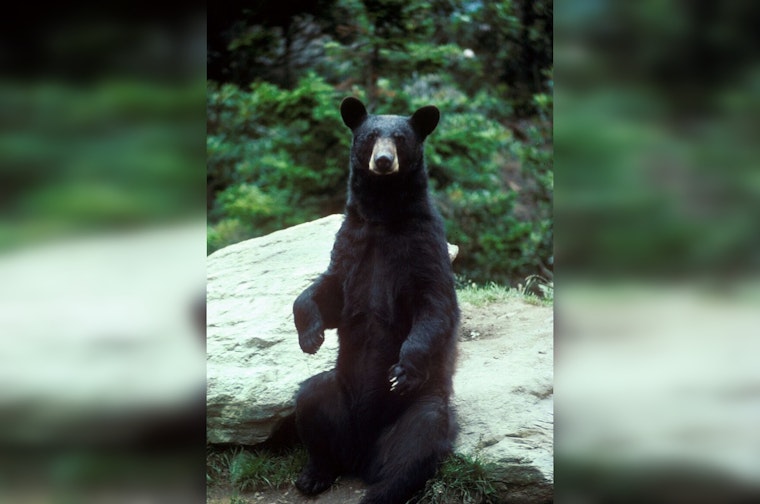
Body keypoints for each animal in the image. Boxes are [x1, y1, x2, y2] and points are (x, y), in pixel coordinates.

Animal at [292, 97, 460, 504]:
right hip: (338, 395)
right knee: (311, 400)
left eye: (399, 138)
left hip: (416, 408)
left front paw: (403, 368)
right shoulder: (353, 241)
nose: (383, 161)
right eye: (369, 137)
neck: (384, 216)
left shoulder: (424, 245)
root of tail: (362, 457)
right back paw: (314, 475)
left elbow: (434, 305)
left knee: (418, 441)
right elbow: (329, 290)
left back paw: (380, 491)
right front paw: (310, 336)